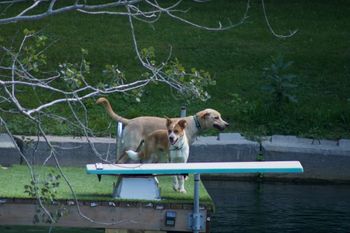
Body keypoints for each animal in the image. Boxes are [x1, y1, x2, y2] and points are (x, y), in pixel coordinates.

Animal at [96, 96, 230, 162]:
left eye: (221, 116)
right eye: (216, 117)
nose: (227, 124)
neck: (194, 123)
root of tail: (130, 120)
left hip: (137, 147)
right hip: (132, 145)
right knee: (120, 160)